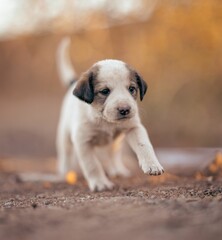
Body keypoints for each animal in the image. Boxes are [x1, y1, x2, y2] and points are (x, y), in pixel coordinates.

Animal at [56, 37, 163, 191]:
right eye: (105, 91)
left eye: (132, 89)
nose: (125, 110)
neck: (105, 121)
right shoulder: (82, 141)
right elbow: (92, 165)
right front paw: (99, 183)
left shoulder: (134, 128)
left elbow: (144, 145)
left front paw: (152, 164)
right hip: (64, 137)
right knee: (65, 155)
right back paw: (64, 173)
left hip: (115, 143)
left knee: (113, 156)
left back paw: (118, 170)